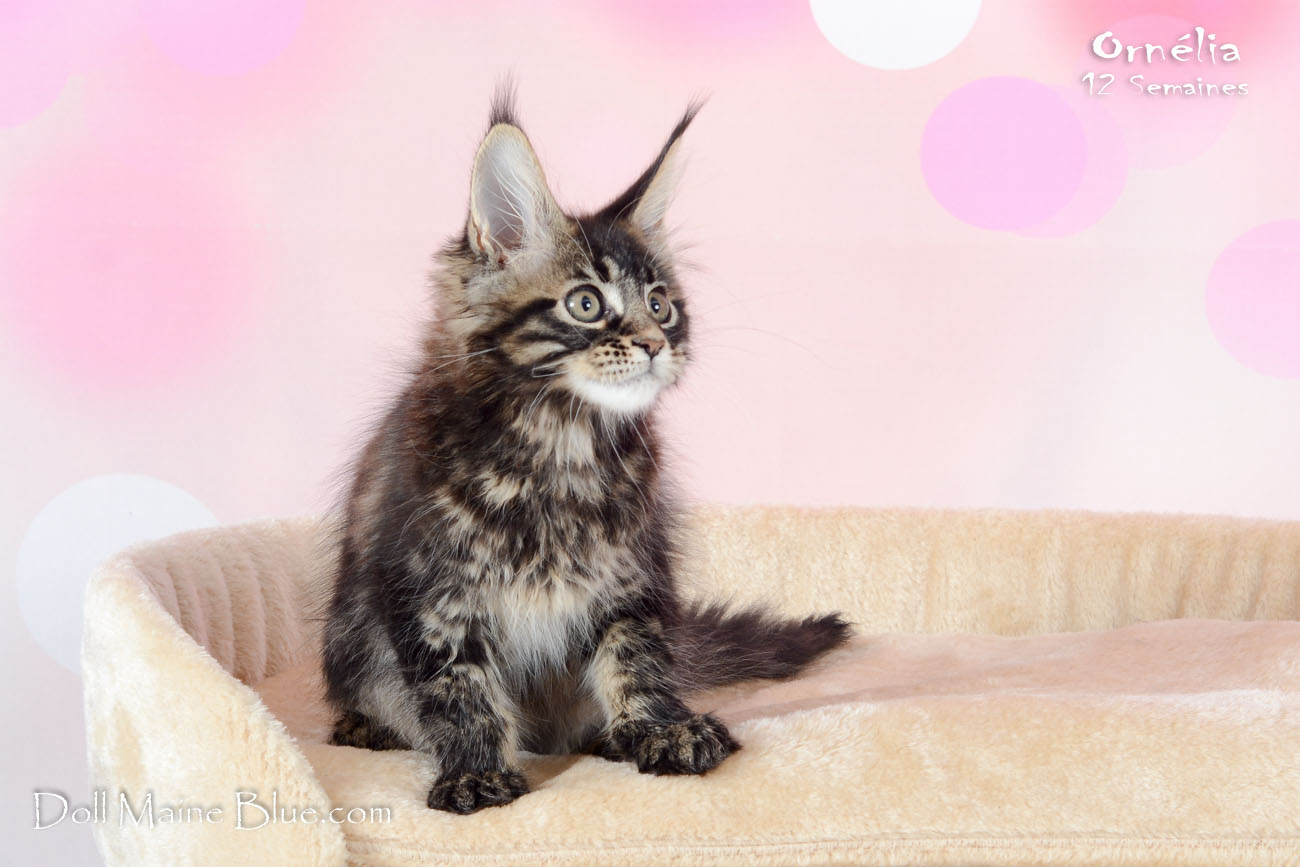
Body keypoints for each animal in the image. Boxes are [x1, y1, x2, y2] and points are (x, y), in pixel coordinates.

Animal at [321, 92, 851, 815]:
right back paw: (365, 725)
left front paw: (661, 729)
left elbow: (636, 657)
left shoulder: (631, 573)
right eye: (586, 303)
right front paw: (474, 772)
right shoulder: (431, 589)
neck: (561, 445)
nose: (656, 343)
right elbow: (459, 690)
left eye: (661, 303)